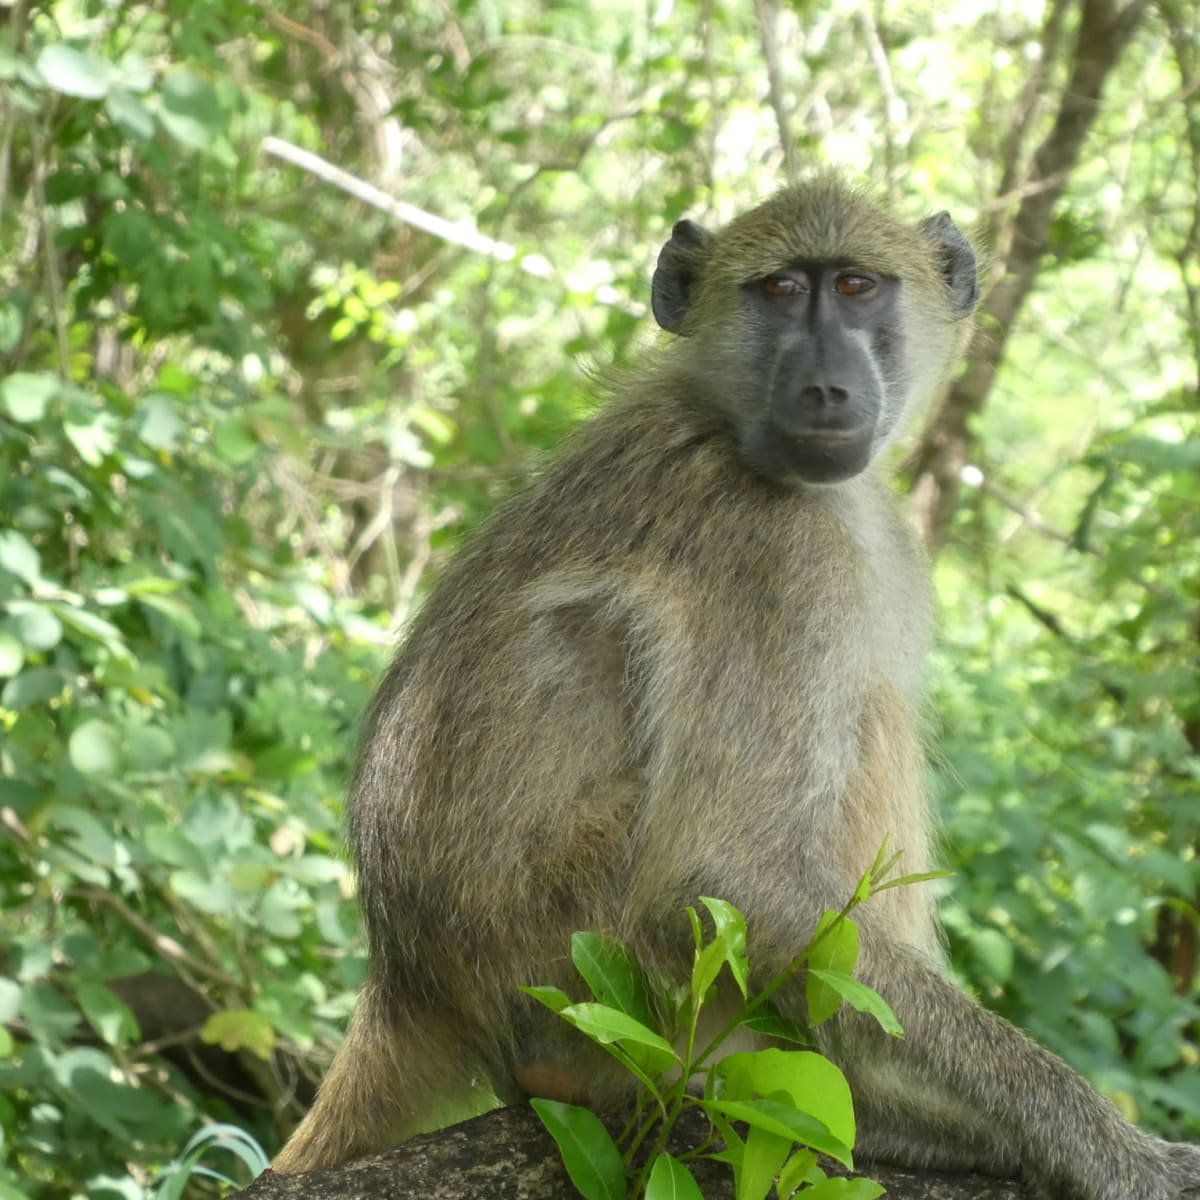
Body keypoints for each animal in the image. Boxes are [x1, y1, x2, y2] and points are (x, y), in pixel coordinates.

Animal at [271, 175, 1200, 1199]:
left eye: (856, 285)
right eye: (781, 291)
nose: (827, 386)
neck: (724, 422)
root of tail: (410, 982)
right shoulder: (781, 556)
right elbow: (732, 875)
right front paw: (1112, 1150)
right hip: (608, 994)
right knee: (863, 727)